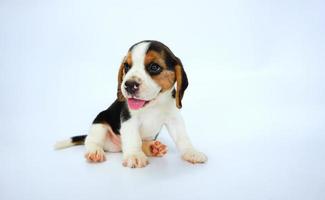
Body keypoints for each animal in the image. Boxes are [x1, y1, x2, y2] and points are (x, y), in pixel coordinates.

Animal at [55, 40, 208, 167]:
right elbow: (134, 139)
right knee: (92, 141)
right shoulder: (129, 120)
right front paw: (134, 156)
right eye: (127, 66)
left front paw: (191, 152)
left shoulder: (174, 119)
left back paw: (153, 148)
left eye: (154, 67)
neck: (153, 105)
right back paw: (95, 152)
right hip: (100, 124)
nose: (129, 85)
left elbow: (183, 138)